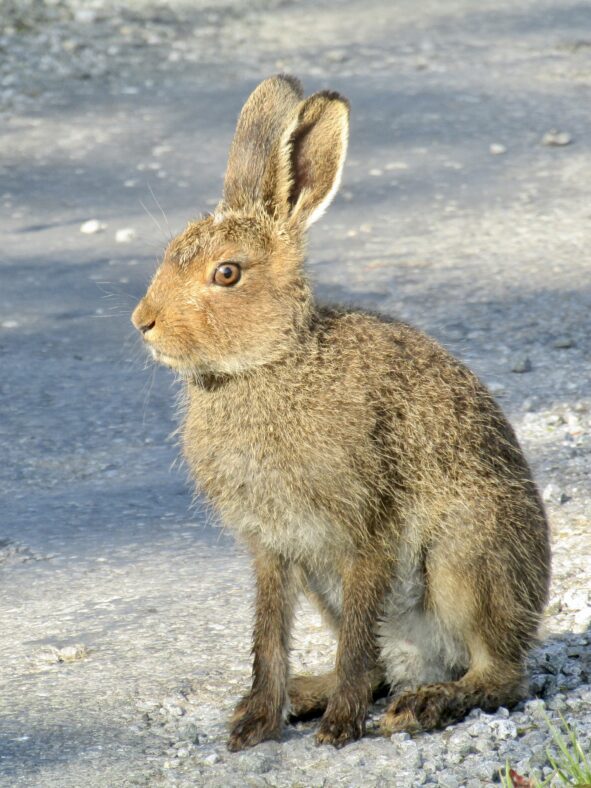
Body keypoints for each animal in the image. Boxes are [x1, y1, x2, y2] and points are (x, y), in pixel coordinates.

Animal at [131, 74, 551, 752]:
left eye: (227, 273)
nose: (143, 322)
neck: (269, 361)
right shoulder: (273, 550)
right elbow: (267, 636)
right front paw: (255, 724)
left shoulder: (366, 531)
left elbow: (356, 634)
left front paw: (339, 729)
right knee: (386, 663)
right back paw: (312, 693)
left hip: (464, 559)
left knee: (498, 674)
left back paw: (422, 705)